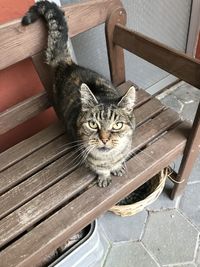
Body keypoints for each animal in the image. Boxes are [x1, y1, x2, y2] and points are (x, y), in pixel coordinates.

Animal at [22, 0, 138, 188]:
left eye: (117, 125)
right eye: (92, 124)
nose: (104, 139)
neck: (108, 157)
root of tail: (68, 63)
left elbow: (118, 160)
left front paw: (117, 167)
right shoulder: (90, 157)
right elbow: (99, 168)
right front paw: (104, 176)